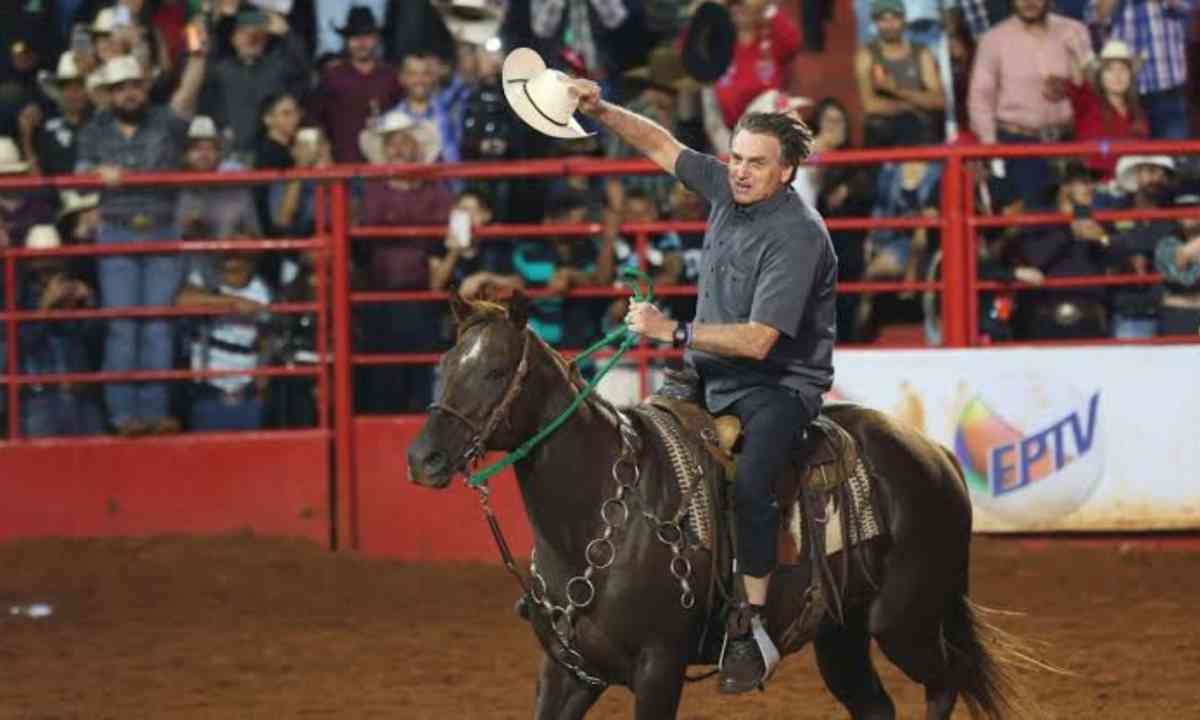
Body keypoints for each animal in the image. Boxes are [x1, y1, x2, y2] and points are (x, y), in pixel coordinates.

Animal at [408, 292, 1027, 720]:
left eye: (494, 371)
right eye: (446, 365)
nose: (423, 458)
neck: (598, 513)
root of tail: (935, 454)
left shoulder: (659, 669)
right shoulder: (567, 675)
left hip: (904, 621)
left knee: (945, 681)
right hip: (841, 634)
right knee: (877, 705)